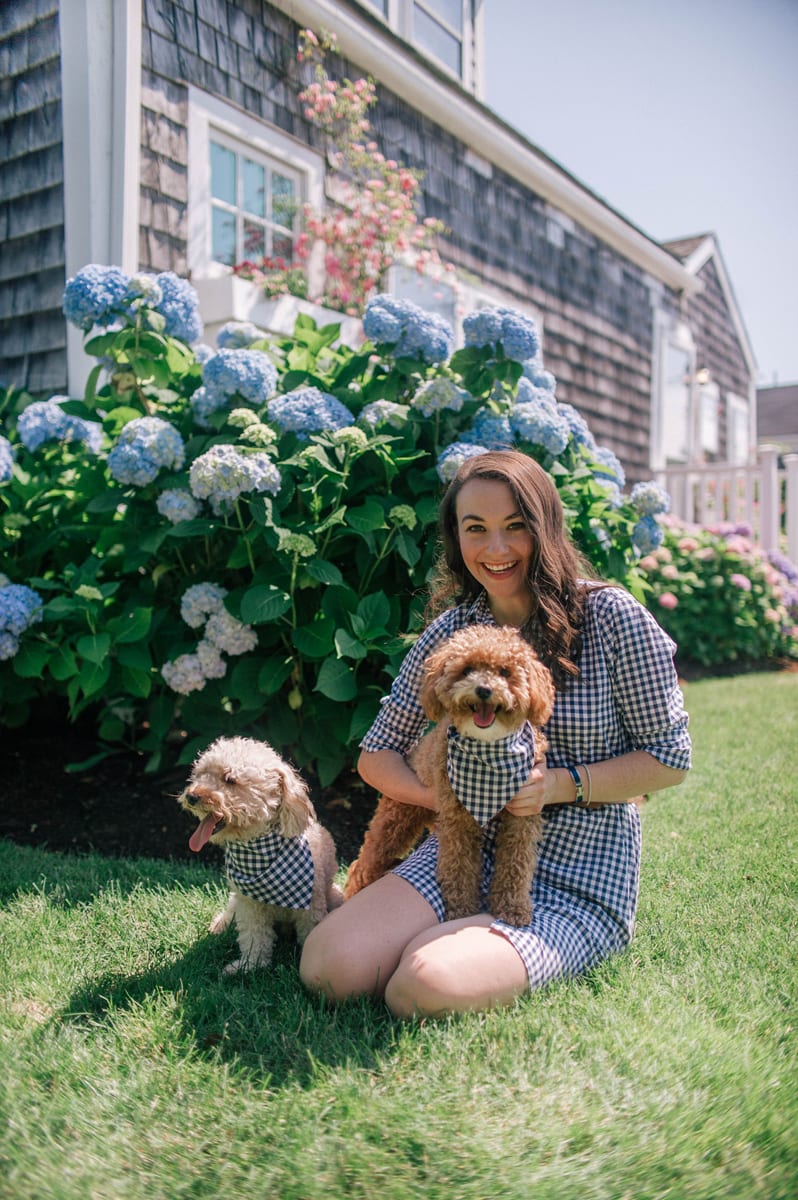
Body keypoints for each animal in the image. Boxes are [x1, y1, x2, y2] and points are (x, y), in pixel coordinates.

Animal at [180, 729, 343, 974]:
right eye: (200, 774)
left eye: (230, 779)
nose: (191, 796)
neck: (258, 849)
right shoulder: (250, 904)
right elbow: (254, 936)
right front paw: (249, 966)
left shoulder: (311, 905)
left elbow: (308, 935)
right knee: (231, 908)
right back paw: (221, 924)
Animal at [343, 628, 554, 926]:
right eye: (467, 670)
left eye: (505, 671)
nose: (484, 690)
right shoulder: (457, 819)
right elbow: (459, 867)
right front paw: (463, 909)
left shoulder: (523, 816)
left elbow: (517, 863)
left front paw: (513, 908)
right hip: (395, 821)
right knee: (362, 865)